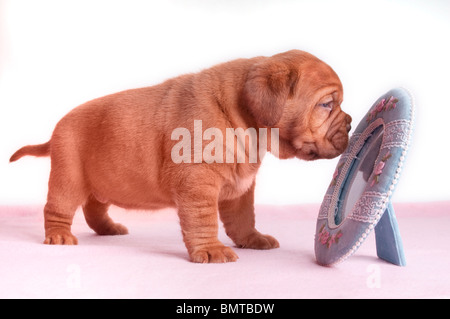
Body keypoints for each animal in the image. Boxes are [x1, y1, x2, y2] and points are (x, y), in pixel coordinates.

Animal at [8, 50, 350, 264]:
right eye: (326, 104)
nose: (348, 123)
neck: (244, 121)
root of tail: (57, 129)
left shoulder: (239, 188)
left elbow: (243, 218)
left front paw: (252, 239)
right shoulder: (198, 185)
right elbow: (203, 221)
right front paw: (211, 250)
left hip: (103, 181)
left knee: (94, 207)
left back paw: (108, 229)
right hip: (68, 175)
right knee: (58, 208)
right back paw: (59, 236)